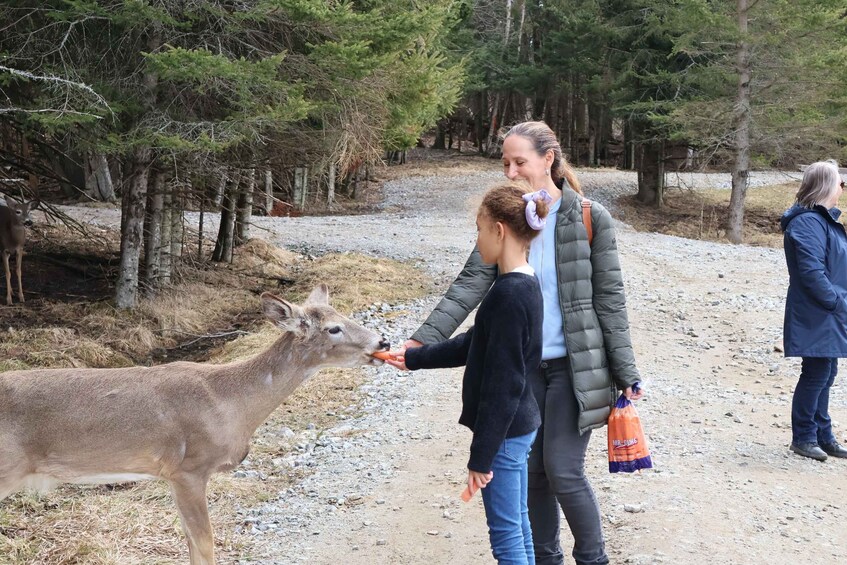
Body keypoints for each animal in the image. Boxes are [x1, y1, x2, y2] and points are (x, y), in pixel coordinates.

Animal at [0, 284, 390, 565]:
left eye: (344, 315)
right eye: (334, 328)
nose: (383, 341)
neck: (232, 403)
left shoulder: (176, 474)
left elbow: (191, 543)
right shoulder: (189, 467)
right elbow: (205, 545)